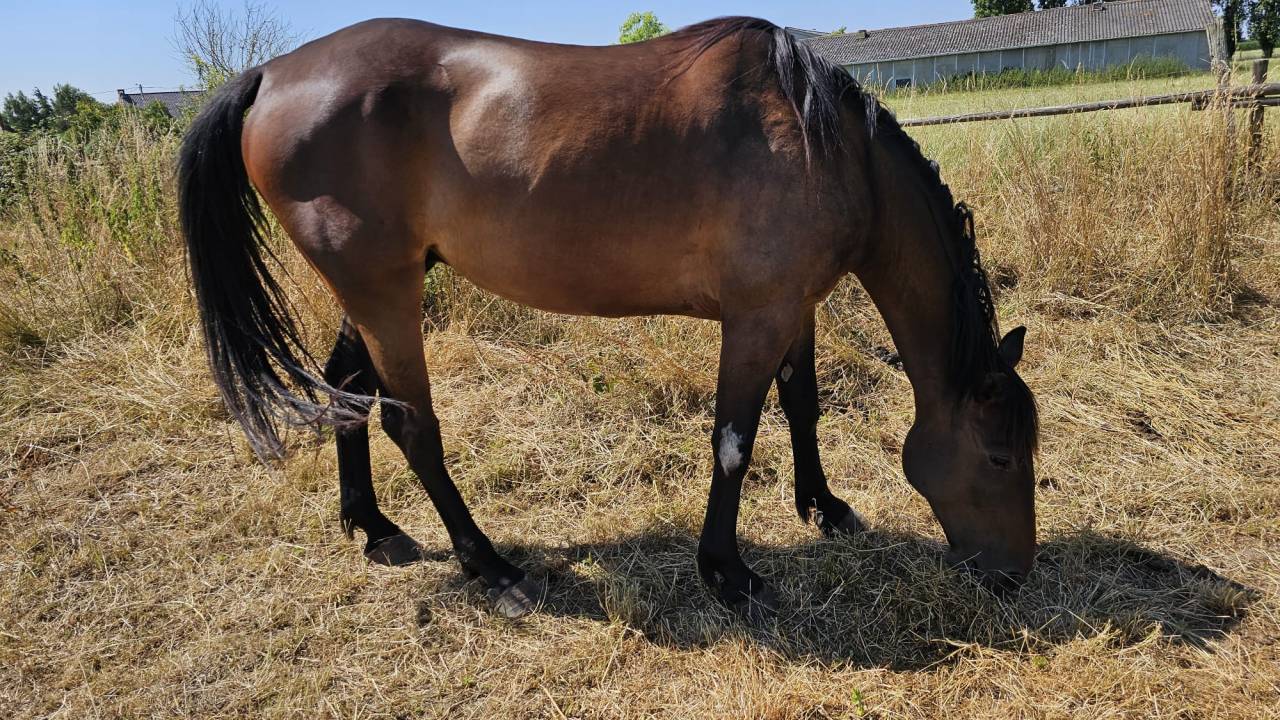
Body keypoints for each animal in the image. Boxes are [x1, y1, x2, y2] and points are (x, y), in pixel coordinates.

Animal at [178, 16, 1039, 619]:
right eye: (999, 457)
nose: (1015, 575)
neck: (819, 142)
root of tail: (270, 74)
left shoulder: (794, 305)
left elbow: (802, 406)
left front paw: (823, 508)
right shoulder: (756, 318)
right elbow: (734, 441)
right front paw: (728, 573)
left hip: (376, 288)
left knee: (348, 391)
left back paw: (374, 527)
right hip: (384, 290)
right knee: (410, 425)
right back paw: (494, 570)